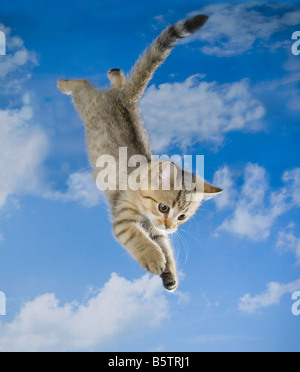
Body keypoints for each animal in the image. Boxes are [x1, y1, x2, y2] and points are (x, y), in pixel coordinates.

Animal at [58, 16, 221, 292]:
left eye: (182, 216)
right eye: (164, 207)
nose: (171, 226)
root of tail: (126, 100)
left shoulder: (155, 229)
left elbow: (165, 246)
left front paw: (170, 273)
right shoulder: (123, 217)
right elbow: (138, 237)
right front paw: (153, 258)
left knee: (117, 82)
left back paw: (116, 73)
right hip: (86, 103)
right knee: (82, 86)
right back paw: (63, 83)